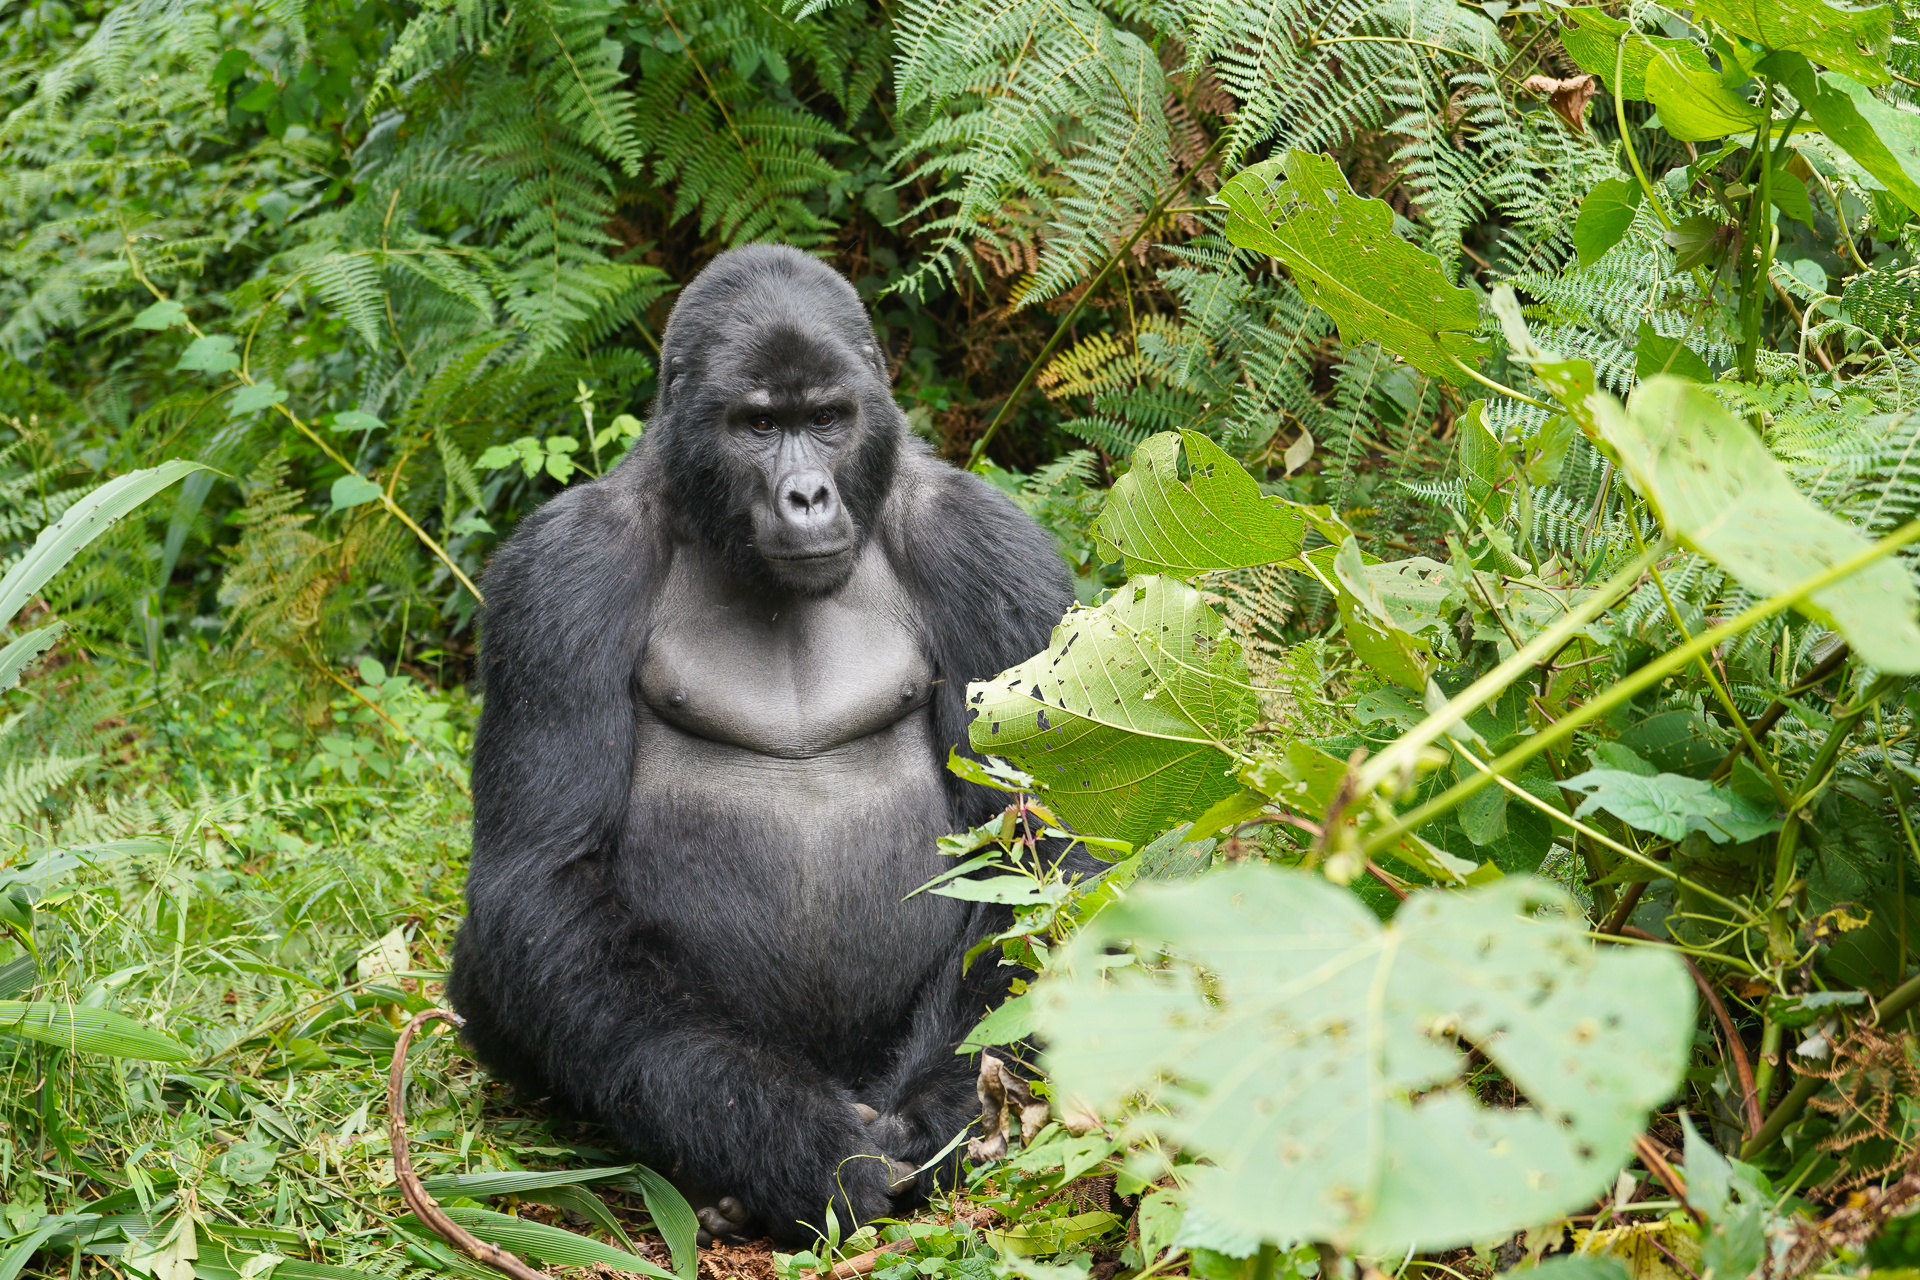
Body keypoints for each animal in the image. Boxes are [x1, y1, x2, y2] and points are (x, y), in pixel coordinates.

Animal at [449, 245, 1082, 1243]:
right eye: (757, 425)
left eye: (825, 419)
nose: (807, 494)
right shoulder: (562, 572)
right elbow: (543, 876)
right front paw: (789, 1144)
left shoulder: (990, 552)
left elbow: (1043, 848)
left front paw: (939, 1120)